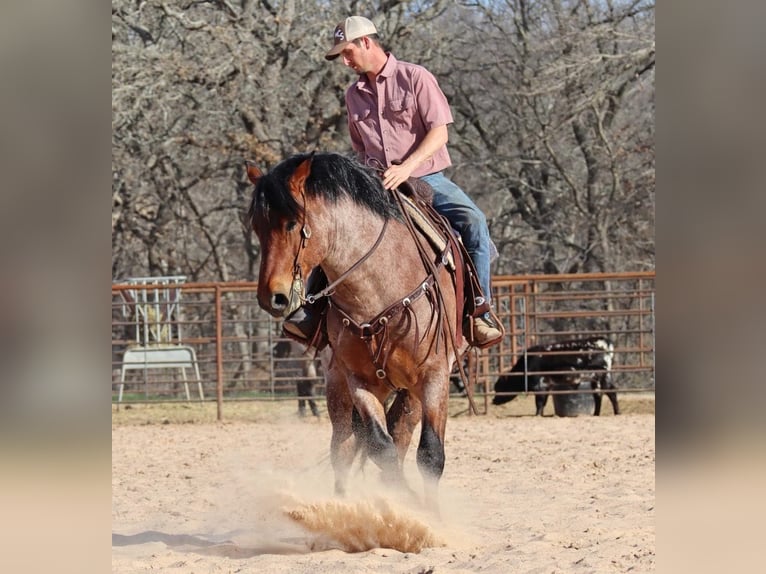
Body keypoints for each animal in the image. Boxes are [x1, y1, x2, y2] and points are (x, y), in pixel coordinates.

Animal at [250, 152, 468, 512]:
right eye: (256, 226)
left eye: (292, 224)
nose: (272, 296)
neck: (379, 288)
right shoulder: (359, 381)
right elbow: (380, 447)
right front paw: (401, 503)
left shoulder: (435, 375)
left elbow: (430, 454)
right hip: (338, 386)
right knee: (344, 446)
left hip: (410, 390)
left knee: (400, 433)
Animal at [492, 338, 624, 418]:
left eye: (499, 388)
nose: (493, 401)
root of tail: (603, 341)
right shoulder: (546, 387)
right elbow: (543, 403)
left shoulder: (540, 386)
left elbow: (539, 402)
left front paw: (537, 415)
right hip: (595, 380)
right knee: (598, 395)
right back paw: (596, 414)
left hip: (603, 376)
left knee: (611, 392)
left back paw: (617, 412)